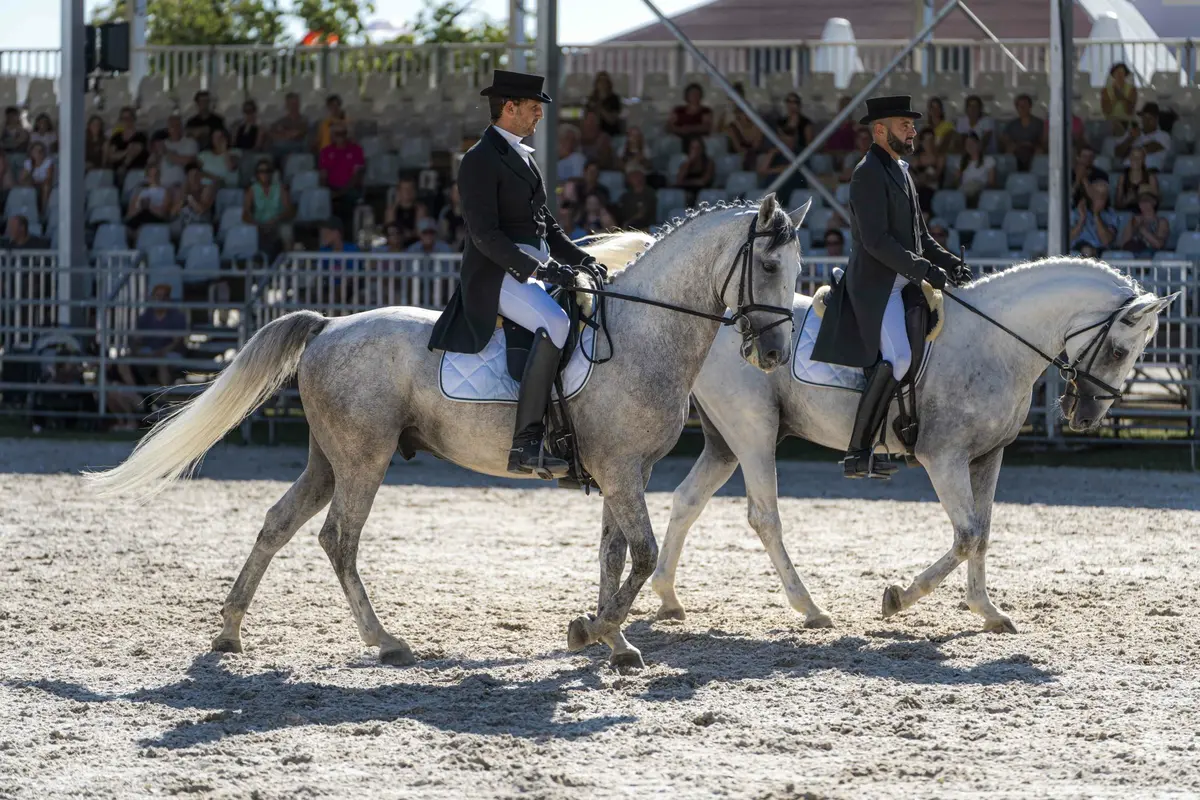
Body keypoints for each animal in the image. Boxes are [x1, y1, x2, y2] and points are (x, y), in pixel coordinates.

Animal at [85, 195, 812, 671]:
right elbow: (641, 553)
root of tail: (329, 326)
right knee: (337, 539)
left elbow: (614, 555)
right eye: (770, 268)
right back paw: (385, 642)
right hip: (364, 457)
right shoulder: (623, 470)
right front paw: (600, 632)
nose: (775, 355)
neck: (640, 335)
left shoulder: (622, 472)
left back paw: (230, 633)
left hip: (328, 458)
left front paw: (605, 638)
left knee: (278, 524)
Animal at [650, 256, 1178, 633]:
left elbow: (983, 533)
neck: (994, 342)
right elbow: (966, 535)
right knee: (765, 517)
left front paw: (986, 611)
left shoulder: (988, 456)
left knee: (687, 500)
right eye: (1118, 350)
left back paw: (668, 597)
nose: (1085, 416)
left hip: (726, 440)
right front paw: (899, 598)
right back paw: (811, 608)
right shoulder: (944, 459)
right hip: (753, 430)